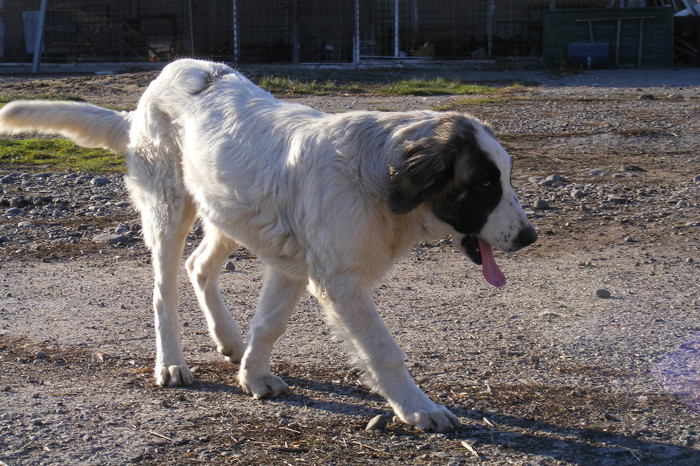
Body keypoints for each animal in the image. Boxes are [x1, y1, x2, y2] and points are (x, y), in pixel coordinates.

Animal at [0, 59, 536, 434]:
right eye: (483, 184)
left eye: (505, 177)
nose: (531, 237)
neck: (377, 174)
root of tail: (159, 82)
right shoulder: (339, 284)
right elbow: (384, 352)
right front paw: (419, 409)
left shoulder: (294, 268)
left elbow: (270, 323)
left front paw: (253, 374)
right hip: (169, 209)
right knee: (163, 290)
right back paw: (170, 362)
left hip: (226, 212)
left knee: (199, 266)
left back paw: (229, 341)